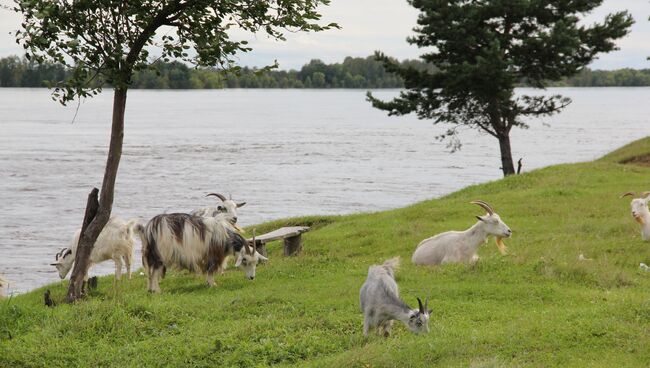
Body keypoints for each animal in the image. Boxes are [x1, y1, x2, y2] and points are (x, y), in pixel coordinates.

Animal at [135, 213, 268, 294]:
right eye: (245, 260)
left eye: (256, 262)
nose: (252, 277)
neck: (225, 237)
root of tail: (147, 229)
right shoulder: (213, 256)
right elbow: (210, 270)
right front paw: (212, 284)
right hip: (160, 255)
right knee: (154, 273)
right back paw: (157, 291)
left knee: (150, 273)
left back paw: (151, 290)